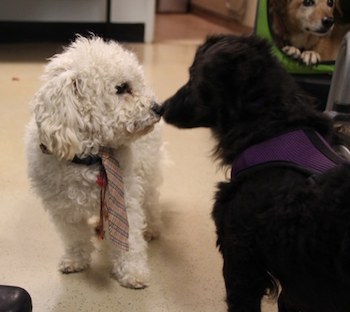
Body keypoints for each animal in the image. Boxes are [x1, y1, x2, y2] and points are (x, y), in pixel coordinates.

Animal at [24, 35, 164, 288]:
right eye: (122, 88)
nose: (159, 108)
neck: (91, 158)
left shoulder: (126, 199)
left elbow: (130, 241)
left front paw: (133, 272)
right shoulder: (64, 210)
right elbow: (75, 239)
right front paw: (75, 260)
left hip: (147, 174)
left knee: (152, 202)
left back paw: (153, 228)